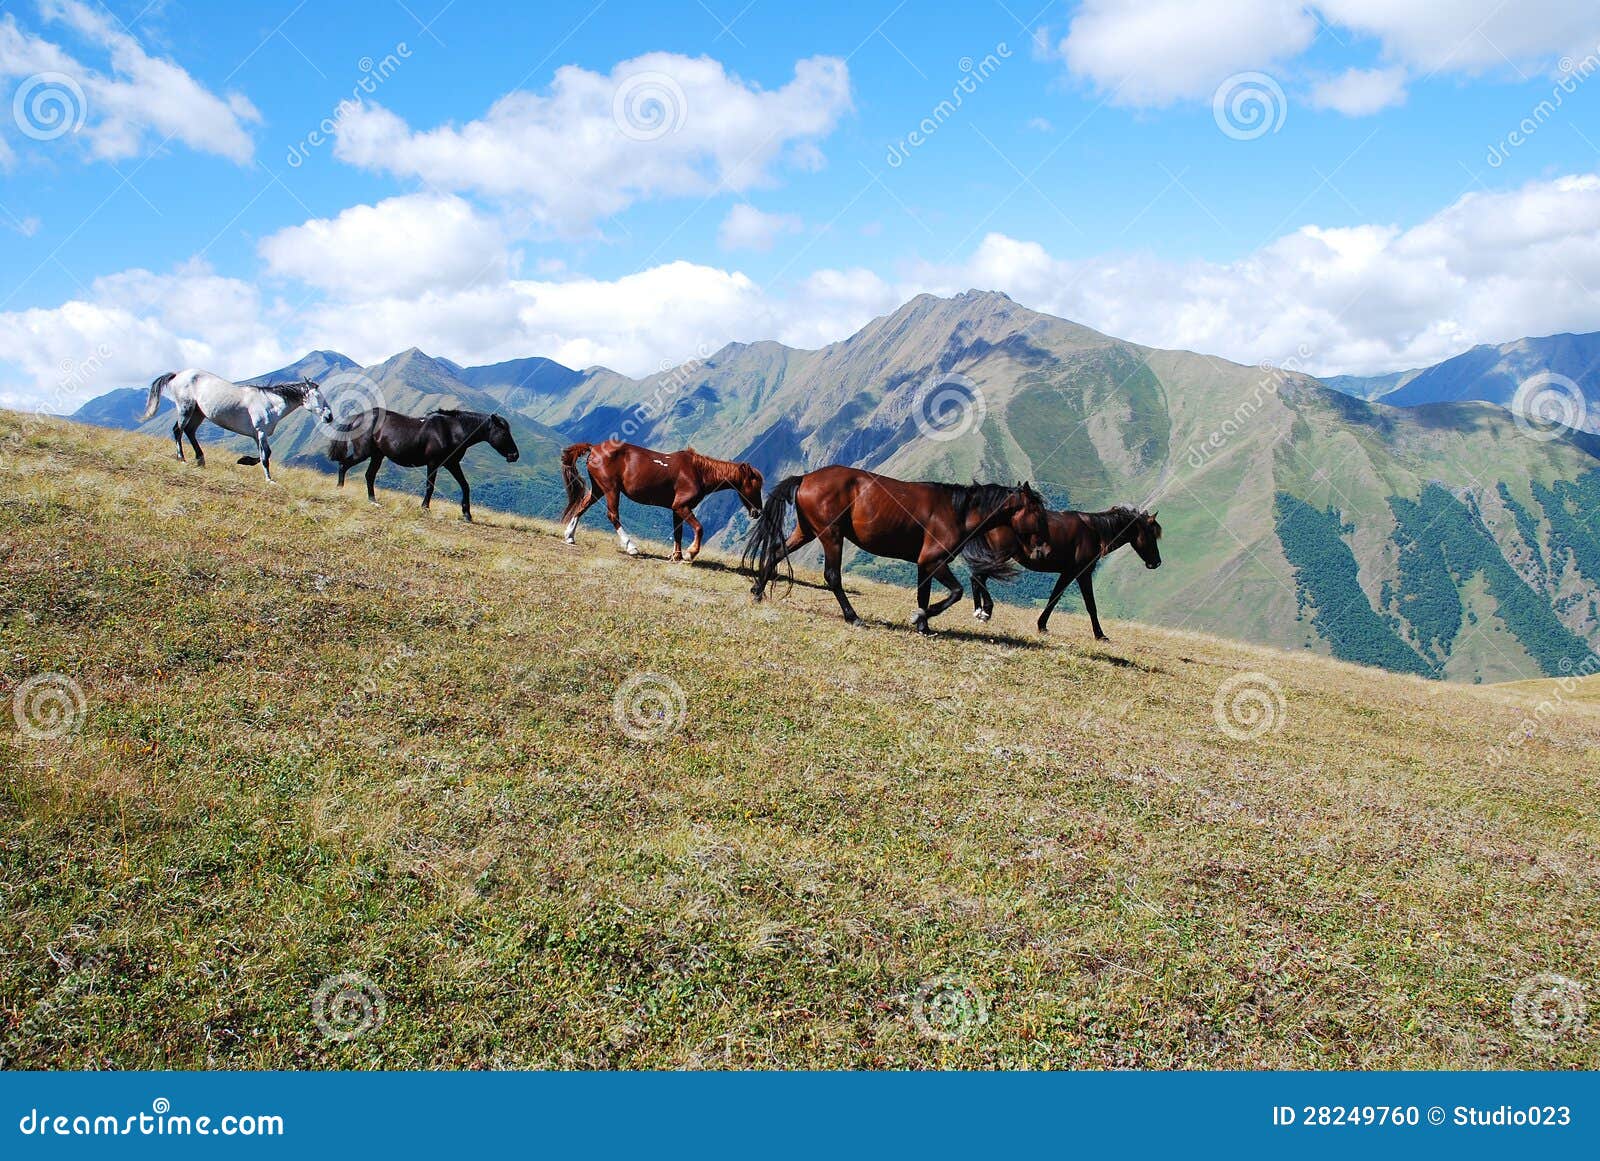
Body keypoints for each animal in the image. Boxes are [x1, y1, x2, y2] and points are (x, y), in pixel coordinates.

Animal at [142, 371, 332, 482]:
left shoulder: (257, 435)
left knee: (189, 431)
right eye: (317, 396)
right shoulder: (261, 432)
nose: (329, 416)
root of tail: (178, 375)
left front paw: (244, 460)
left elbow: (263, 454)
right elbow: (265, 456)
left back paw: (200, 460)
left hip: (198, 413)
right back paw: (181, 458)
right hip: (185, 408)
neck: (270, 403)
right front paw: (269, 479)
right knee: (178, 431)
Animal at [324, 407, 518, 521]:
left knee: (369, 475)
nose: (514, 455)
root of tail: (358, 417)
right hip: (363, 453)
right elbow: (430, 487)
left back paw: (373, 500)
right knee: (343, 465)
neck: (452, 430)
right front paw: (425, 507)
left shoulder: (452, 463)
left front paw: (467, 514)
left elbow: (465, 485)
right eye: (504, 432)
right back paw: (340, 489)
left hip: (377, 455)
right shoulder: (433, 463)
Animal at [560, 441, 764, 562]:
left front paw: (676, 556)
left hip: (599, 489)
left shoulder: (677, 509)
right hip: (611, 489)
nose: (757, 512)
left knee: (582, 505)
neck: (698, 472)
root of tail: (594, 448)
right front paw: (690, 553)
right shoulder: (681, 506)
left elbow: (678, 533)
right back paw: (631, 547)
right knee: (612, 515)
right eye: (755, 487)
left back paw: (570, 536)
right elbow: (699, 528)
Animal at [745, 466, 1049, 636]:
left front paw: (924, 626)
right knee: (832, 576)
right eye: (1037, 511)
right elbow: (955, 592)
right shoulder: (934, 561)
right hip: (831, 535)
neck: (957, 511)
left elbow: (923, 594)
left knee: (775, 552)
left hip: (807, 531)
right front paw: (922, 617)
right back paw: (853, 617)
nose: (1043, 549)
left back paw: (758, 591)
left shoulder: (924, 564)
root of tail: (807, 477)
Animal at [960, 505, 1164, 639]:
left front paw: (1042, 625)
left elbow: (1054, 598)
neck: (1095, 531)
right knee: (977, 576)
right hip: (999, 557)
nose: (1156, 562)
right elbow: (1090, 605)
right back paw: (985, 611)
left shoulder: (1067, 573)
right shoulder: (1081, 573)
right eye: (1151, 535)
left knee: (976, 577)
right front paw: (1100, 635)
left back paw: (980, 611)